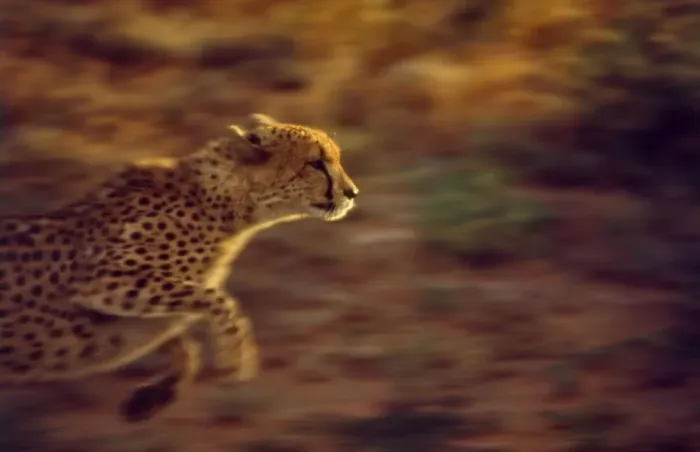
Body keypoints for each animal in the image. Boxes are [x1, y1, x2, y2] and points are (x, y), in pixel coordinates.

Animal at [0, 113, 359, 422]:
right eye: (316, 163)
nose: (352, 193)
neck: (227, 203)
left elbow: (181, 333)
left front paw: (154, 395)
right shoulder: (99, 280)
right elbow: (218, 300)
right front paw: (233, 359)